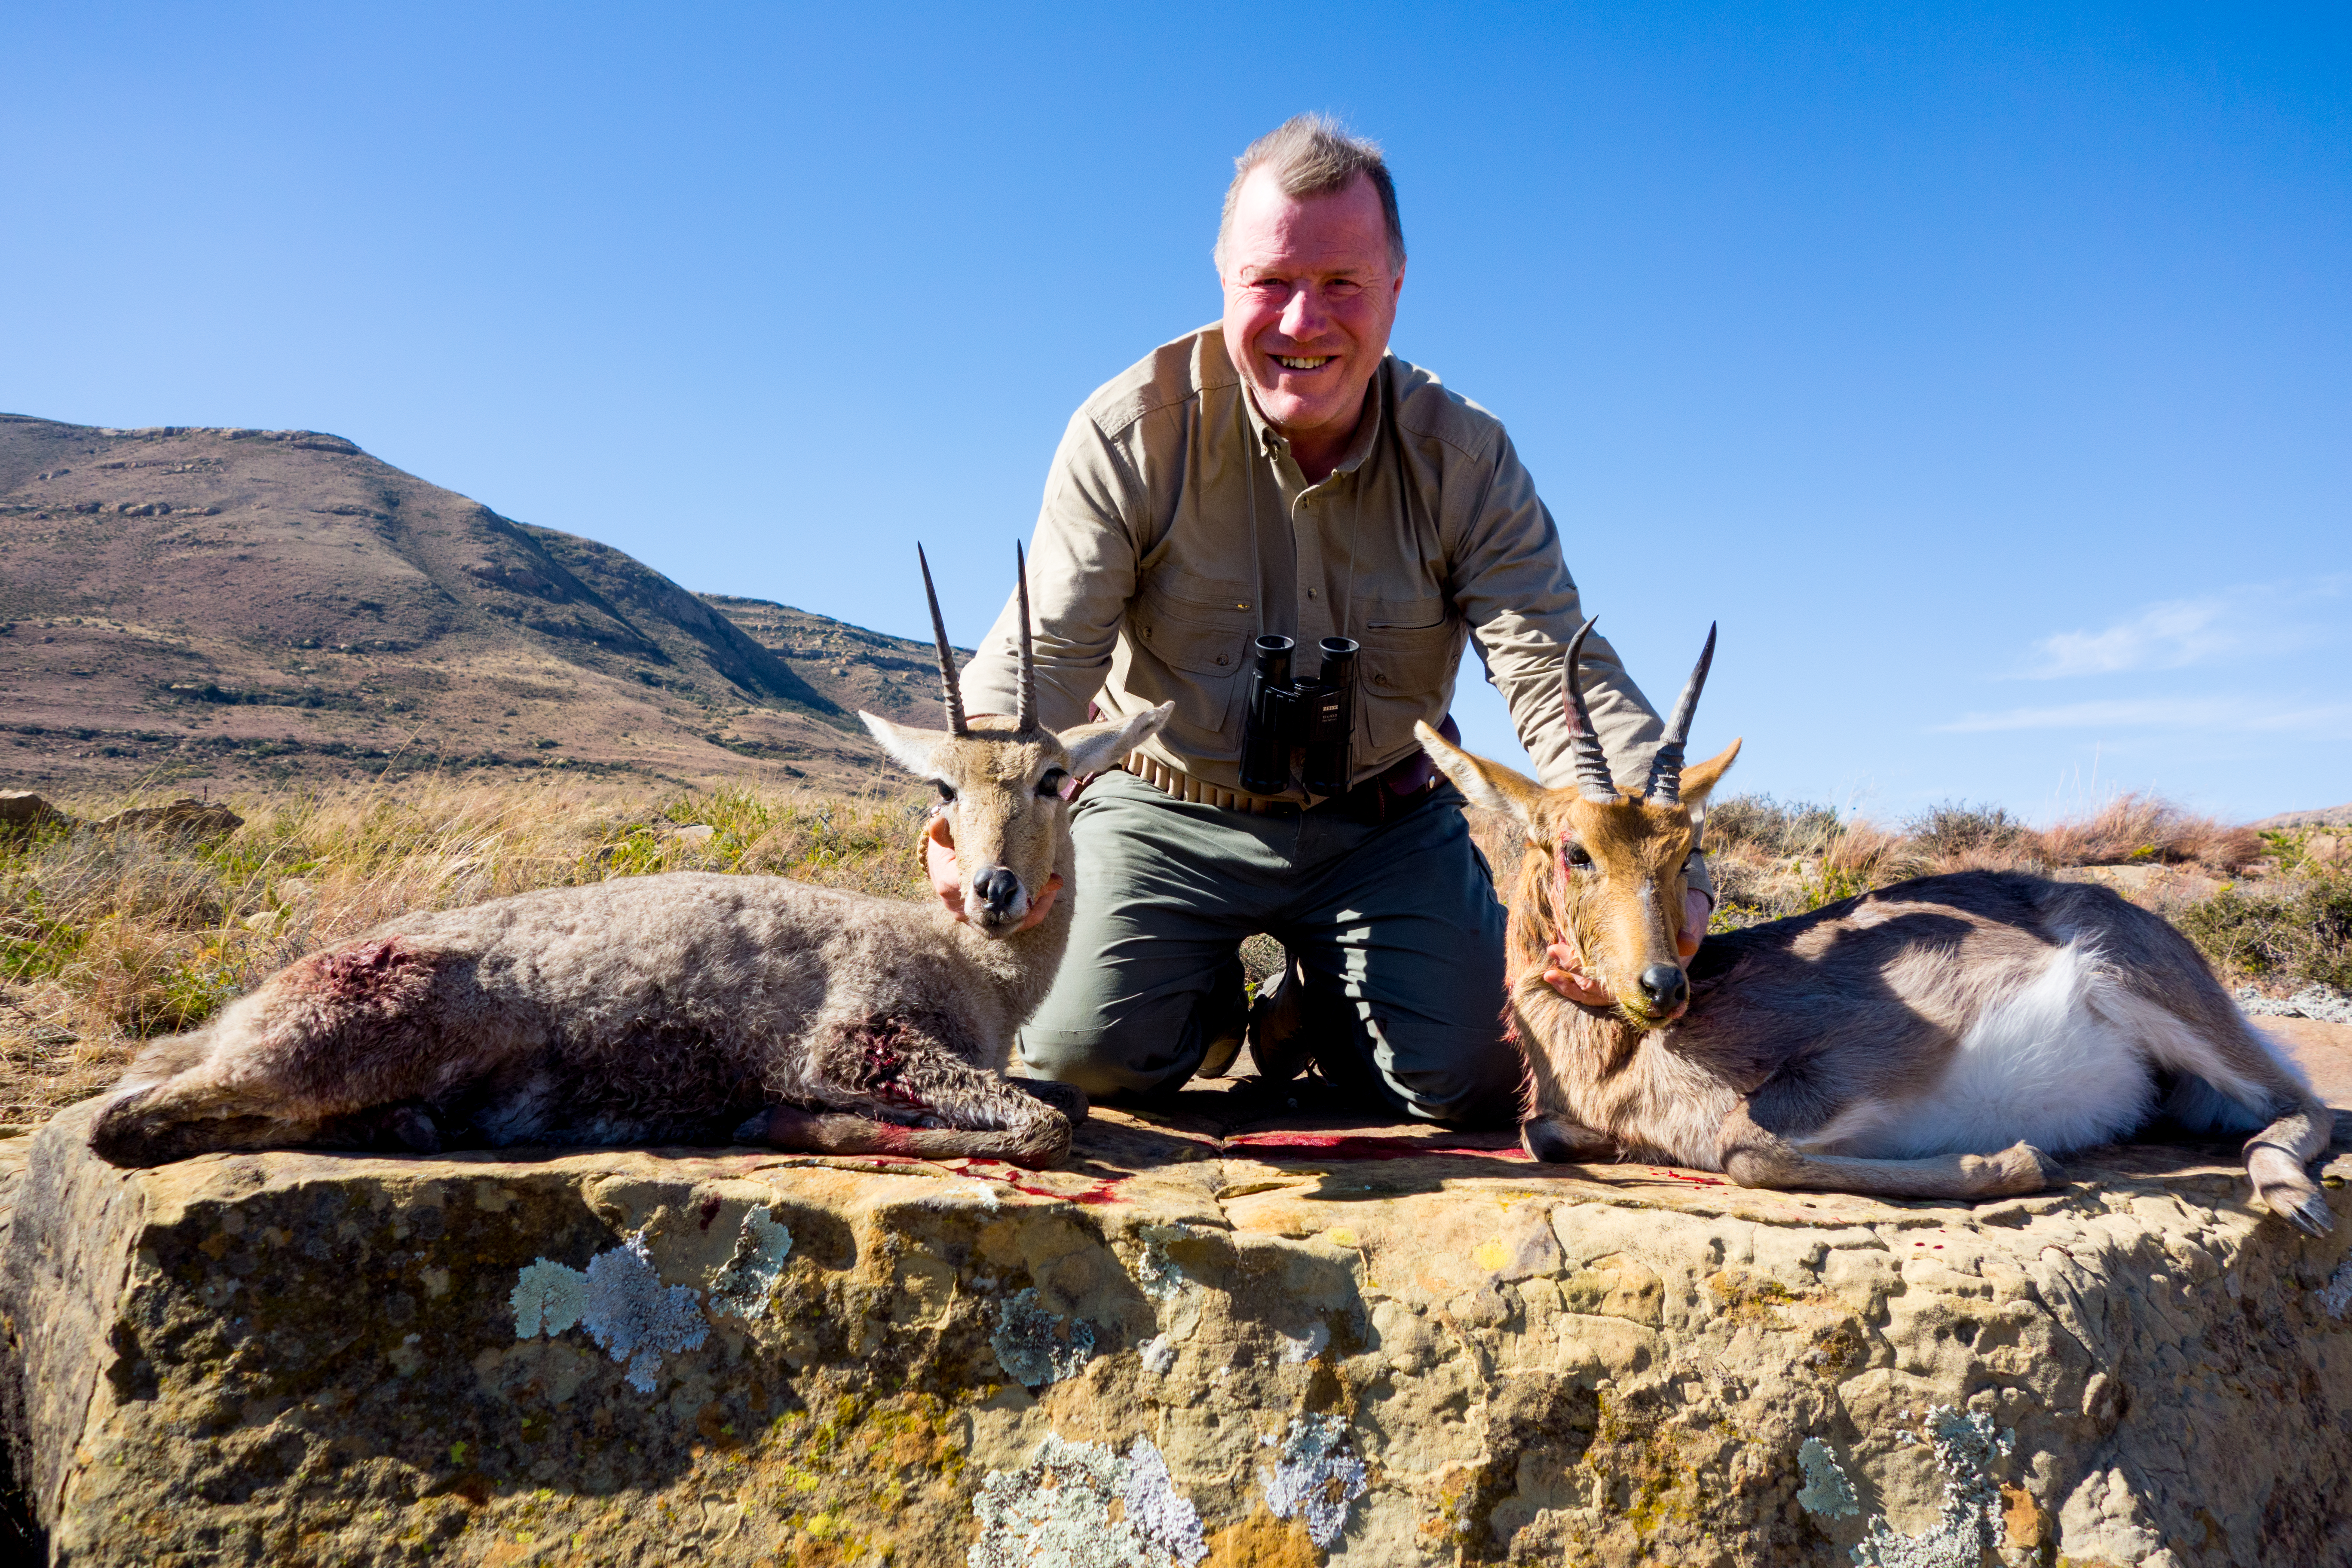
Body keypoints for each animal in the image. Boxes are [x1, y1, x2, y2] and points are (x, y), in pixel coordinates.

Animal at [87, 545, 1171, 1170]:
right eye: (943, 788)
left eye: (1052, 779)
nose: (995, 890)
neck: (980, 976)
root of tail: (240, 1013)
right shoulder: (855, 1042)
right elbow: (1042, 1126)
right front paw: (780, 1122)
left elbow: (1066, 1097)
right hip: (332, 1044)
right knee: (123, 1122)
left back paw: (411, 1127)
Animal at [1411, 625, 2333, 1241]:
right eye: (1577, 850)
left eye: (1684, 852)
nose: (1662, 986)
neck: (1622, 1058)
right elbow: (1542, 1133)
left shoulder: (1870, 1048)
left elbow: (1742, 1146)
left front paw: (2018, 1161)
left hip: (2153, 995)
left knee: (2307, 1103)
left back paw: (2289, 1192)